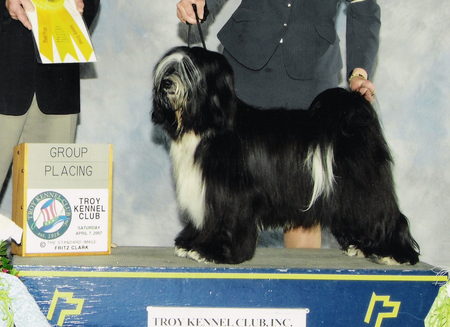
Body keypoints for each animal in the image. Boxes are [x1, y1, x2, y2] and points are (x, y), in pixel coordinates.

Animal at [153, 46, 420, 266]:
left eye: (190, 71)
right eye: (170, 68)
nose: (166, 83)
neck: (208, 125)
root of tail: (353, 111)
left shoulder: (231, 195)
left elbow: (227, 222)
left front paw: (215, 252)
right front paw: (190, 244)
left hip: (364, 188)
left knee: (384, 214)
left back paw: (394, 253)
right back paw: (359, 246)